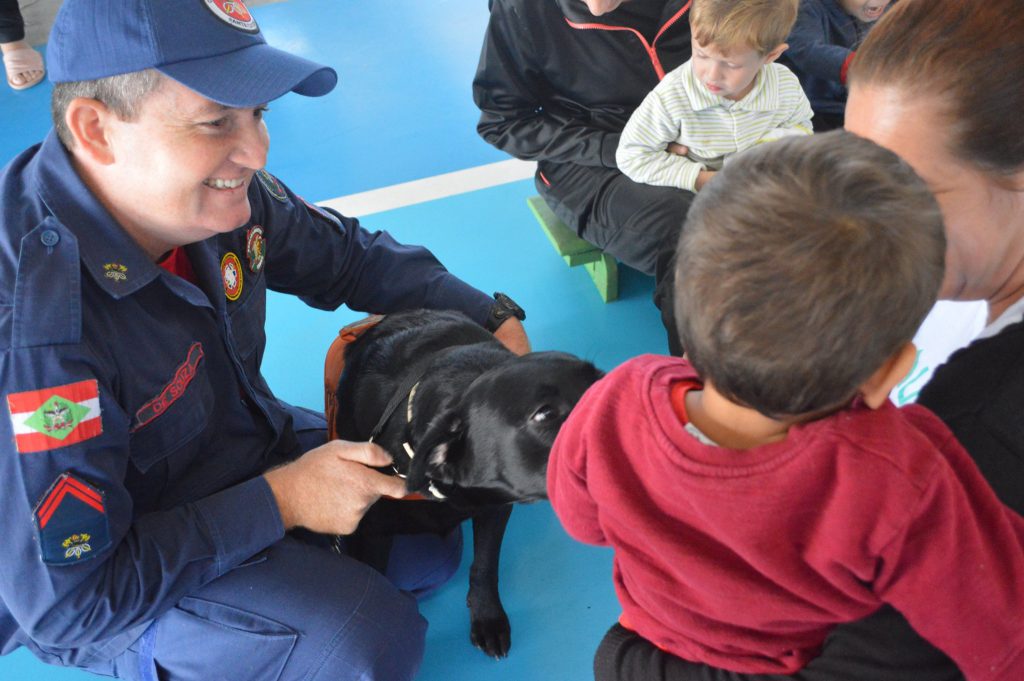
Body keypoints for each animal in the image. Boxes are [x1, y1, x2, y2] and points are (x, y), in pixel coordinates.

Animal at [335, 309, 598, 659]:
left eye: (600, 376)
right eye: (544, 414)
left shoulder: (494, 507)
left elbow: (485, 566)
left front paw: (487, 618)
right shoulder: (374, 529)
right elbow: (380, 585)